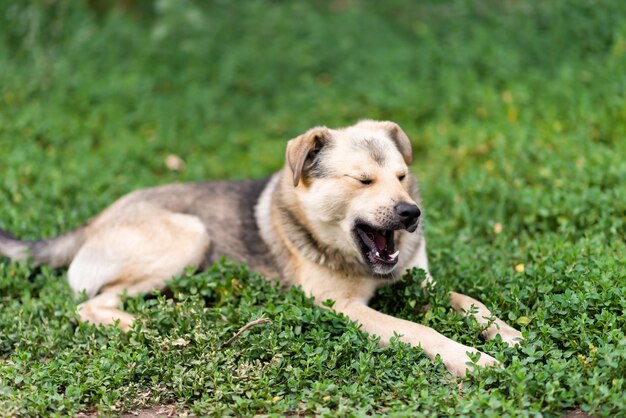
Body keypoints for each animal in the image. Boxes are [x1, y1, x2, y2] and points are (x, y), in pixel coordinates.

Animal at [0, 120, 520, 376]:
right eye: (362, 181)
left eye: (401, 176)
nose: (412, 214)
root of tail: (93, 221)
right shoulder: (344, 307)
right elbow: (419, 330)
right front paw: (471, 360)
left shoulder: (422, 283)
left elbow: (470, 301)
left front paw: (507, 333)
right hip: (190, 235)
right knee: (90, 304)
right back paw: (153, 326)